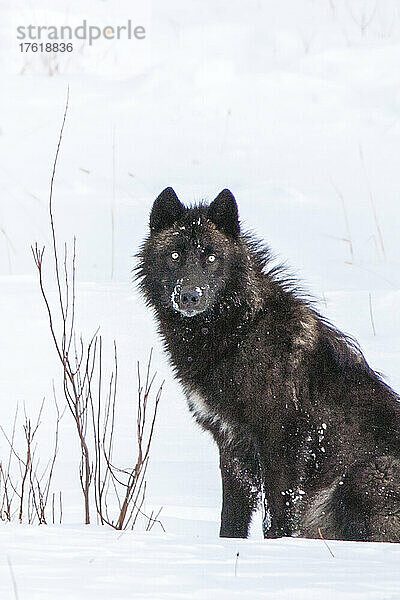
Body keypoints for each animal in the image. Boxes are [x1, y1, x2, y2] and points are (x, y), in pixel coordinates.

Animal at [137, 189, 400, 544]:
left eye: (211, 258)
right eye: (176, 255)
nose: (190, 296)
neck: (239, 330)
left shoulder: (282, 440)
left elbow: (277, 514)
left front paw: (279, 547)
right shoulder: (231, 442)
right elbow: (232, 517)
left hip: (362, 477)